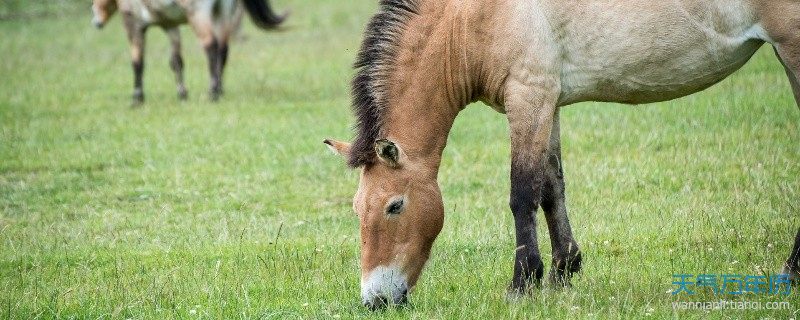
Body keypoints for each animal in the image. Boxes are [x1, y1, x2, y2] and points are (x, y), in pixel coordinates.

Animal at [92, 0, 286, 104]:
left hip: (198, 14)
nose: (96, 23)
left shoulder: (133, 23)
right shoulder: (170, 26)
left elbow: (138, 62)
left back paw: (212, 92)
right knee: (223, 51)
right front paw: (182, 94)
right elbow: (176, 61)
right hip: (222, 13)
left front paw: (137, 98)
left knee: (211, 46)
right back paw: (219, 89)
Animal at [322, 0, 800, 310]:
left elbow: (522, 193)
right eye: (356, 210)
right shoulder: (548, 103)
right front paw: (562, 272)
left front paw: (522, 284)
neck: (472, 15)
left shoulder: (529, 96)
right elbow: (551, 187)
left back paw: (789, 273)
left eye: (395, 206)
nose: (375, 300)